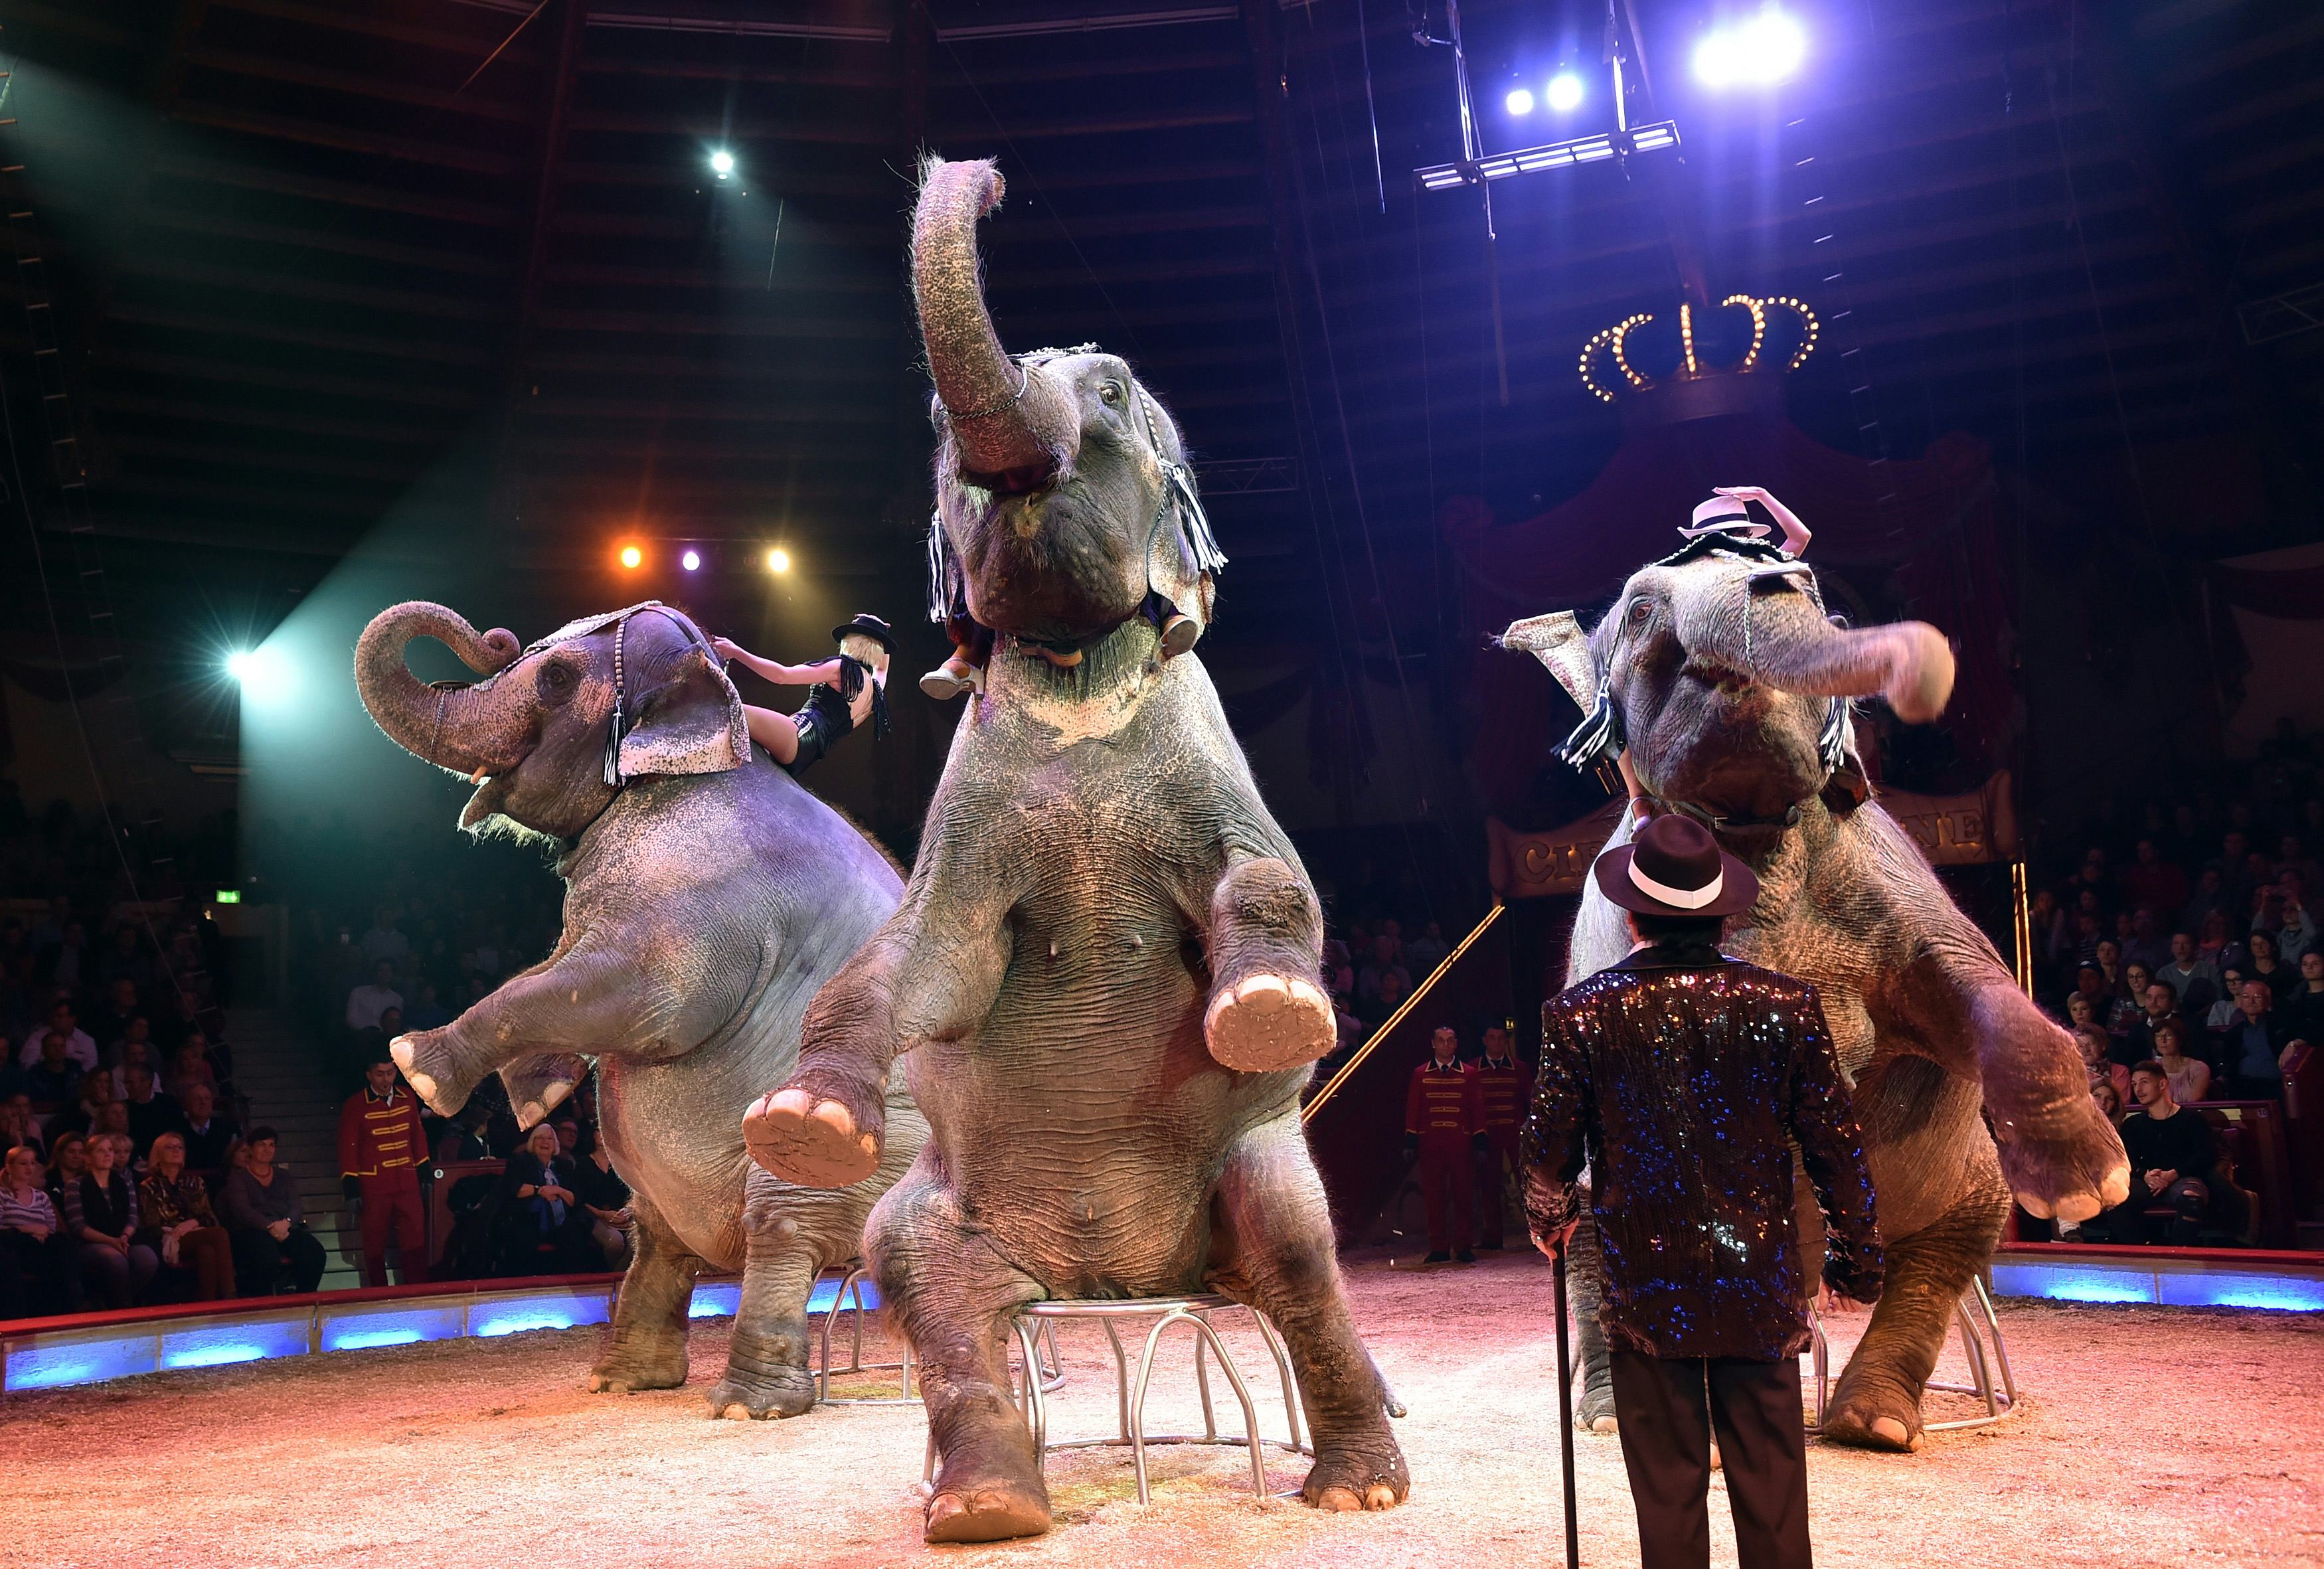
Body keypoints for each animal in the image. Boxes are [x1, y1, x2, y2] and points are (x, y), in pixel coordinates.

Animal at [354, 598, 926, 1419]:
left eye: (556, 678)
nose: (492, 635)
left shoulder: (701, 886)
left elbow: (638, 996)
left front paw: (416, 1067)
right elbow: (559, 965)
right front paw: (538, 1095)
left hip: (871, 1148)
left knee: (782, 1220)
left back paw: (743, 1406)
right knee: (655, 1236)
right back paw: (621, 1380)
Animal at [740, 156, 1409, 1543]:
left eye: (1111, 390)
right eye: (938, 440)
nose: (985, 178)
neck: (1075, 666)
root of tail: (1118, 1277)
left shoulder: (1218, 768)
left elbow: (1280, 878)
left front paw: (1267, 1010)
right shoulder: (966, 826)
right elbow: (926, 959)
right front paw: (801, 1118)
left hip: (1248, 1176)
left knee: (1296, 1249)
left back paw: (1362, 1482)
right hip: (951, 1214)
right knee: (922, 1275)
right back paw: (985, 1504)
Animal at [1501, 521, 2129, 1451]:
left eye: (1815, 595)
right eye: (1642, 610)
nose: (1930, 677)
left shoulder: (1885, 871)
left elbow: (1968, 974)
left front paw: (2088, 1186)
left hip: (1959, 1179)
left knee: (1946, 1250)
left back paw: (1874, 1422)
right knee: (1594, 1257)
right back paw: (1613, 1416)